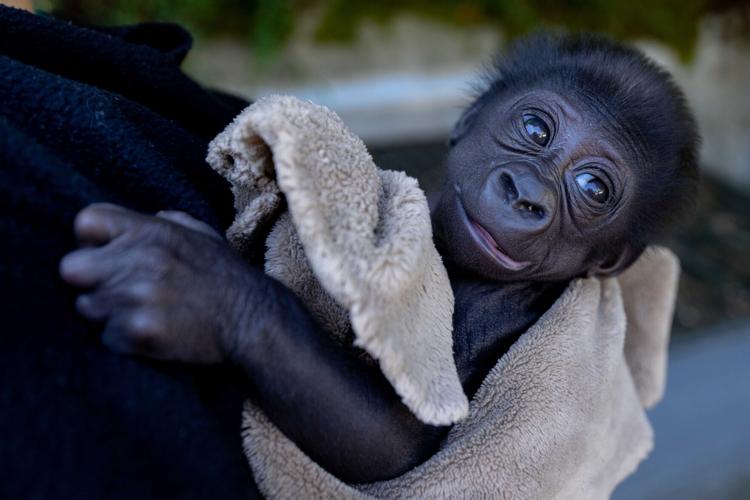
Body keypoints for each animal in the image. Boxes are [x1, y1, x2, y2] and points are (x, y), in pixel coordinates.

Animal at [59, 33, 699, 485]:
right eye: (536, 128)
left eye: (593, 188)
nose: (527, 195)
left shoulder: (498, 311)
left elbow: (391, 443)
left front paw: (204, 294)